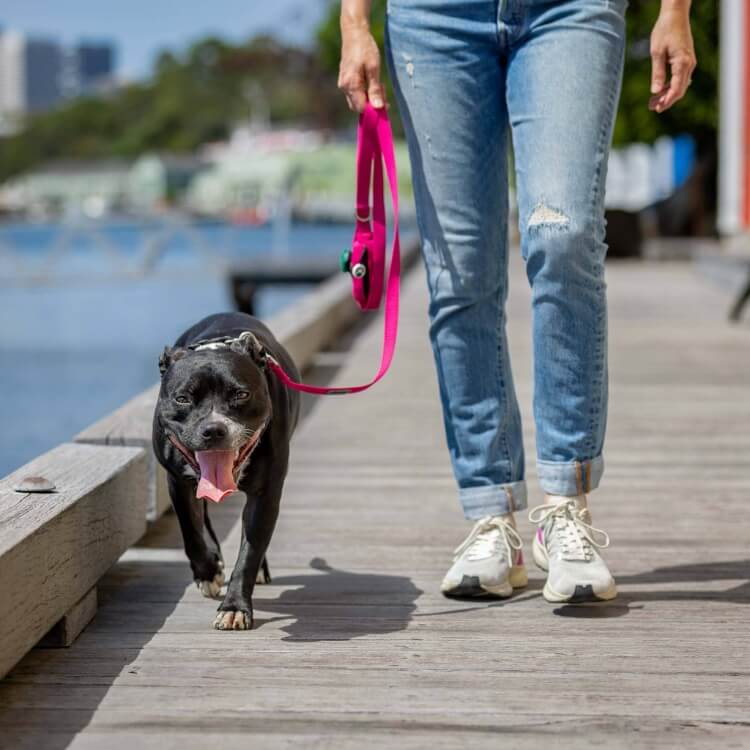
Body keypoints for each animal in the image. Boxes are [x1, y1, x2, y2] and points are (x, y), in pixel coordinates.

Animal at [153, 314, 300, 632]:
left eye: (241, 394)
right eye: (182, 398)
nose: (213, 429)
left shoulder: (265, 495)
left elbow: (250, 552)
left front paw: (234, 607)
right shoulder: (178, 483)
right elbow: (191, 531)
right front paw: (208, 572)